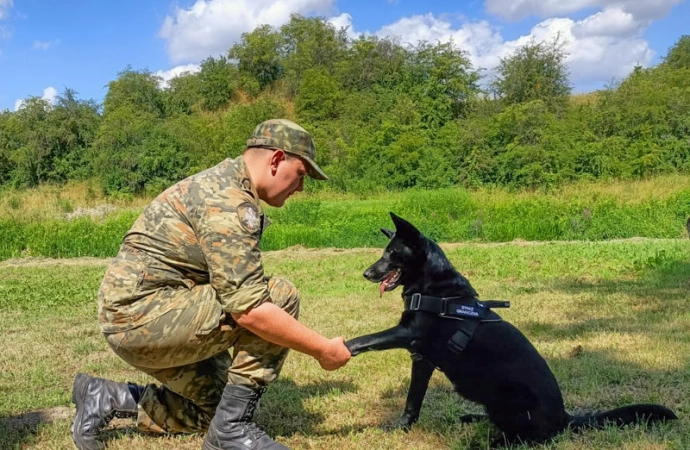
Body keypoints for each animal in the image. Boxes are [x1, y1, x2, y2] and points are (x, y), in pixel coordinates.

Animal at [346, 213, 676, 444]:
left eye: (392, 253)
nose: (366, 273)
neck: (436, 290)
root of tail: (565, 417)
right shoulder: (422, 361)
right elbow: (413, 400)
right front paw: (402, 427)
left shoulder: (409, 334)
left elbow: (365, 339)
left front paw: (342, 348)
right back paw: (472, 419)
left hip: (507, 396)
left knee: (528, 439)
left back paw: (487, 442)